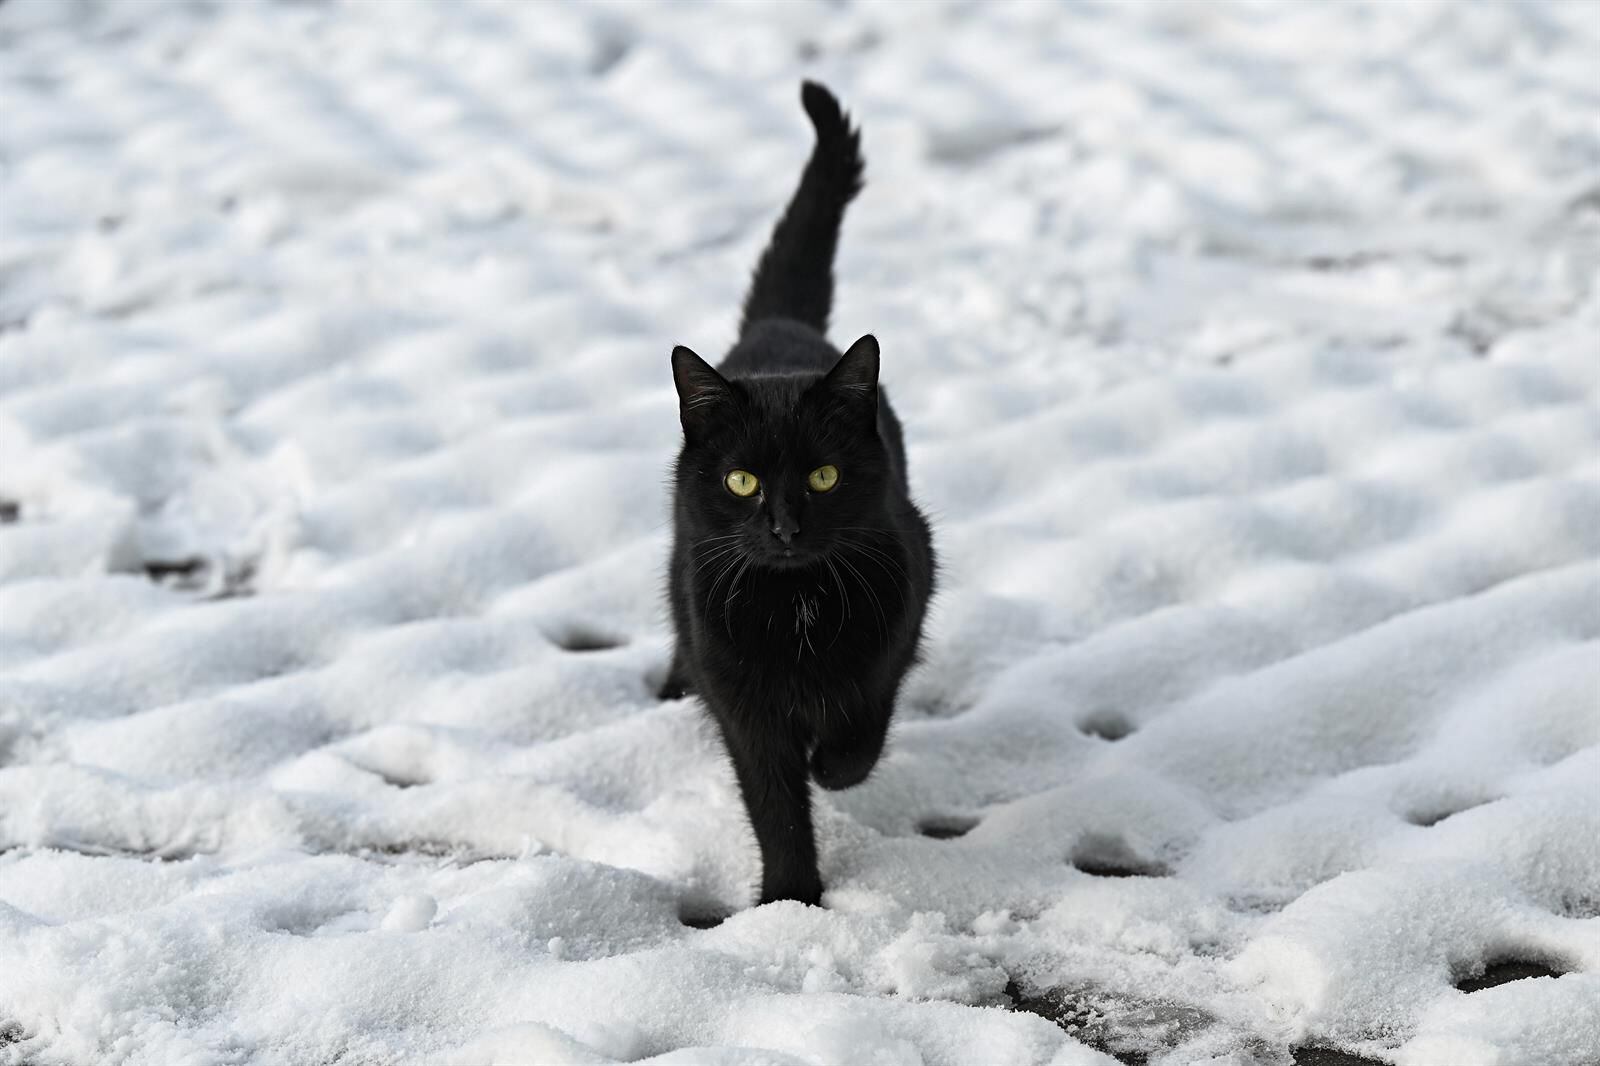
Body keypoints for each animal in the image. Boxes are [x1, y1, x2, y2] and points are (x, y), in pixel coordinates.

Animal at [662, 80, 934, 902]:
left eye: (823, 475)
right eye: (742, 480)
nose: (783, 526)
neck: (796, 605)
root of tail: (778, 329)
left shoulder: (905, 601)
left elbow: (864, 723)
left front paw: (832, 765)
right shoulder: (744, 710)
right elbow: (774, 806)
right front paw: (790, 901)